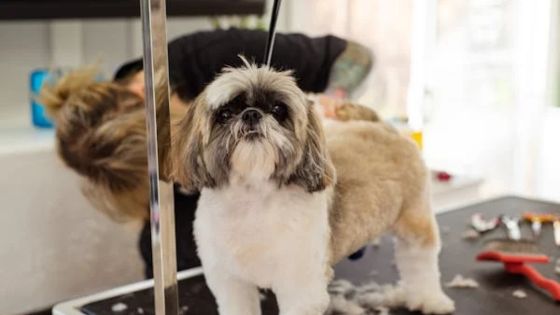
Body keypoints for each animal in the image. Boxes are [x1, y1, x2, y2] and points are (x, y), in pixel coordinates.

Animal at [172, 59, 456, 315]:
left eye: (278, 109)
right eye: (226, 113)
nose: (251, 113)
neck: (253, 197)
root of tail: (382, 127)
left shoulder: (300, 285)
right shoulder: (232, 281)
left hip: (415, 220)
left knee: (420, 262)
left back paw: (430, 300)